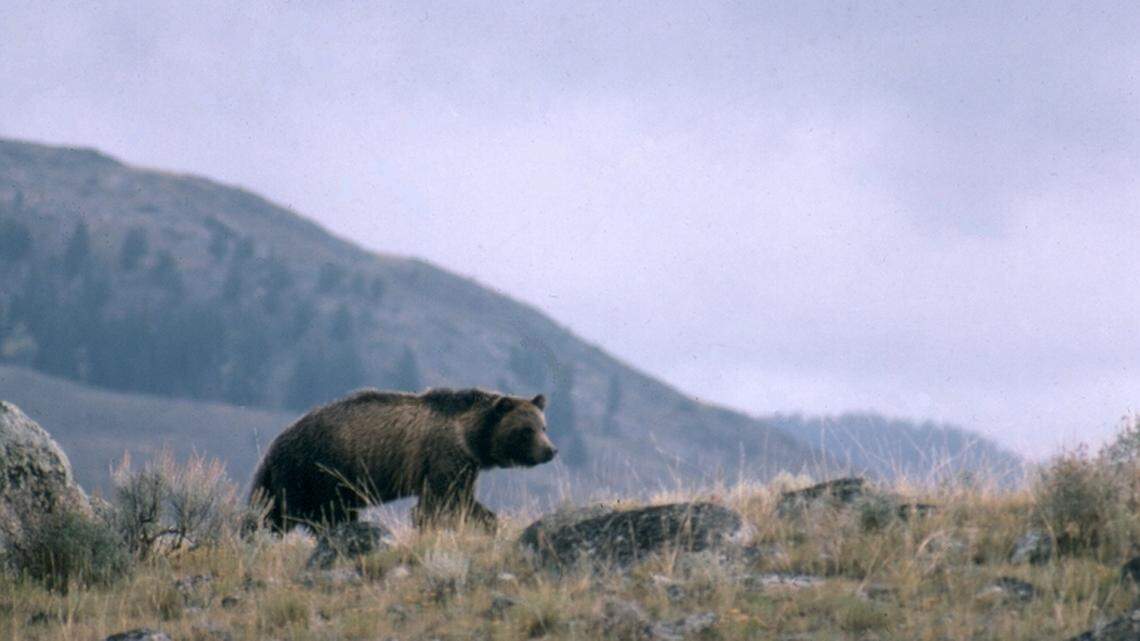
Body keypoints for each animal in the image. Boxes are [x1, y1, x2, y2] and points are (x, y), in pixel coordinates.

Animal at [249, 388, 557, 532]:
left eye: (543, 426)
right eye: (526, 430)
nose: (550, 451)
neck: (470, 437)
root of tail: (275, 444)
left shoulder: (465, 467)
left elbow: (461, 499)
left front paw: (488, 522)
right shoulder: (443, 457)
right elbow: (441, 502)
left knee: (271, 510)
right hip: (317, 472)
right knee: (305, 514)